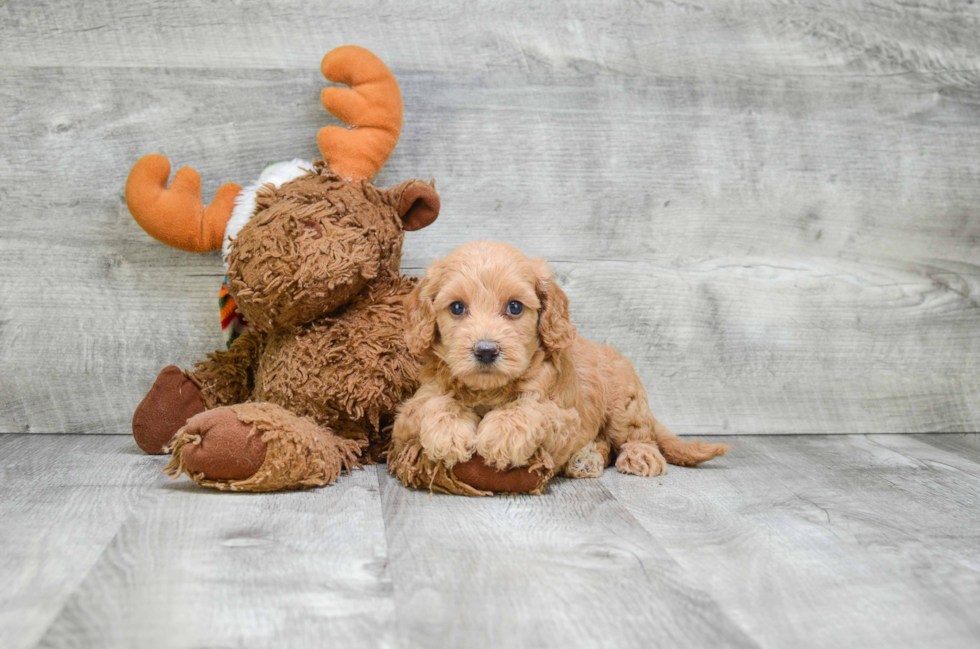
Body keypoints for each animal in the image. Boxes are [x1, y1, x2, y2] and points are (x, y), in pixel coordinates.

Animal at [388, 240, 728, 494]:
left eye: (514, 307)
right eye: (457, 307)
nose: (485, 350)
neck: (489, 390)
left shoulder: (564, 414)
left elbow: (530, 409)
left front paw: (502, 432)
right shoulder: (408, 413)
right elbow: (432, 403)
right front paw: (449, 432)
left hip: (624, 402)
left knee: (634, 435)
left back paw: (637, 454)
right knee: (604, 444)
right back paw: (585, 459)